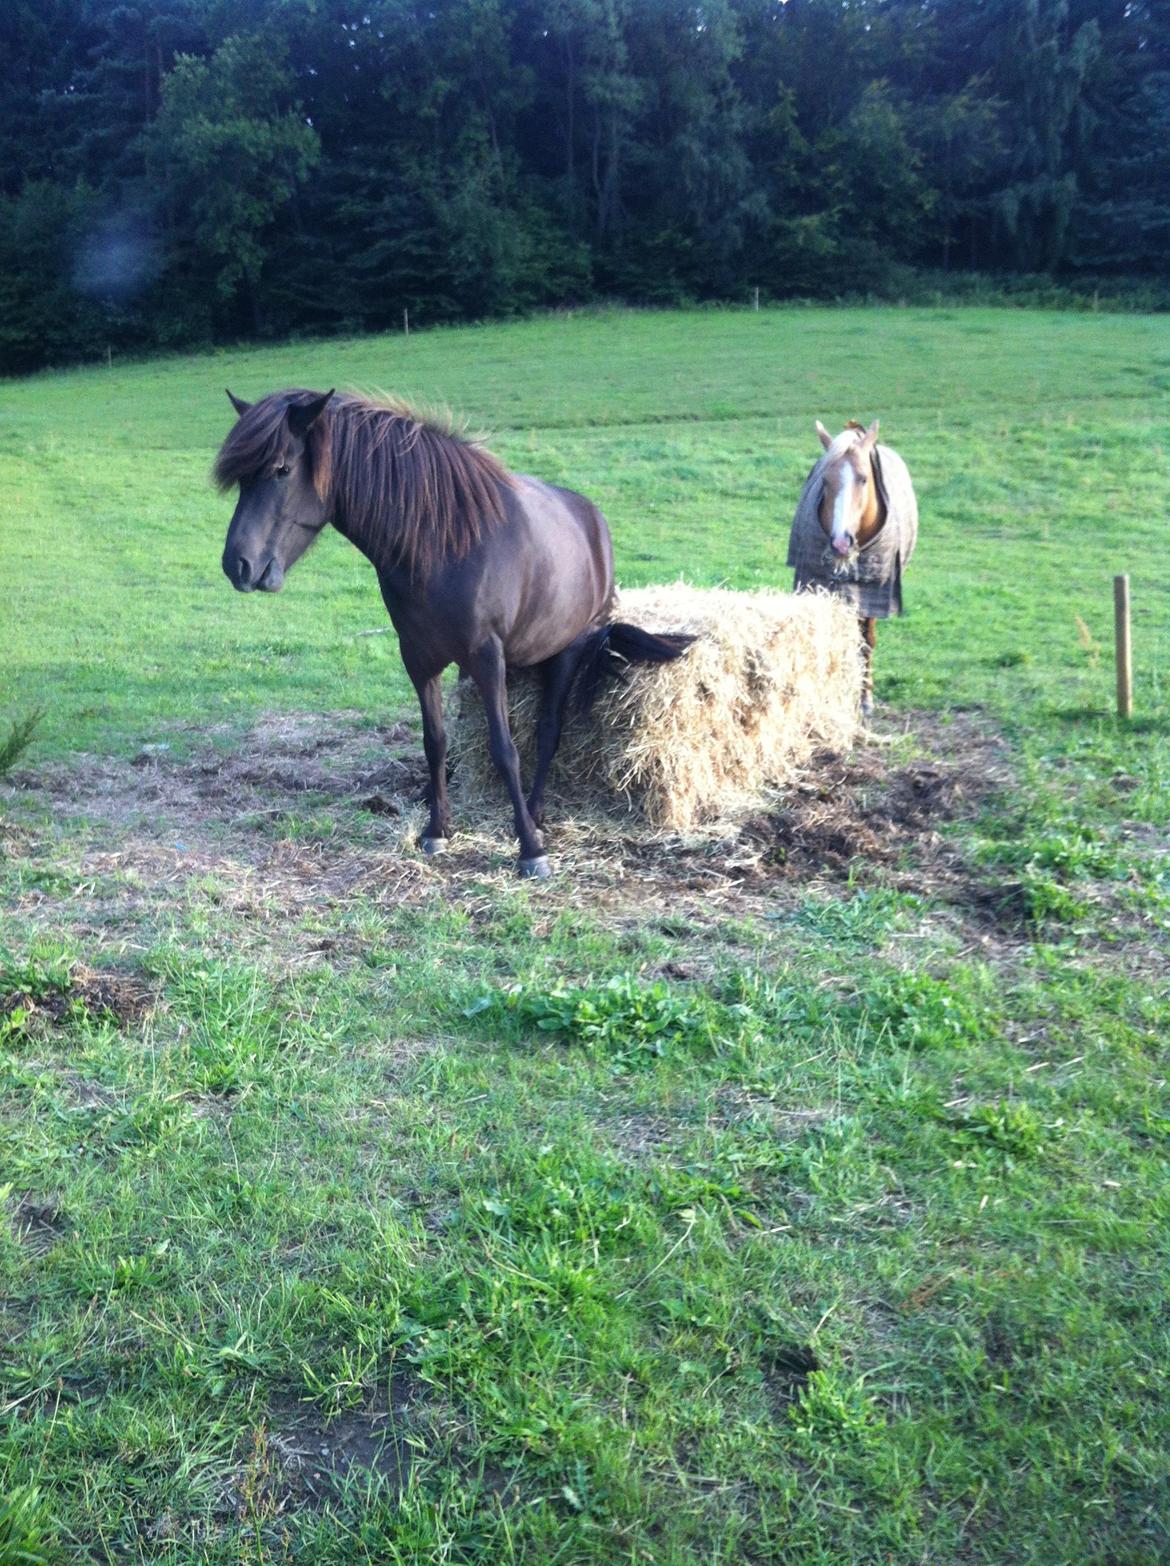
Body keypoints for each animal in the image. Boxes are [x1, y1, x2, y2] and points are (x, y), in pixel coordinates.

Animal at [216, 386, 692, 876]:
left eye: (281, 469)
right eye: (243, 479)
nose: (237, 565)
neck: (439, 546)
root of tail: (593, 520)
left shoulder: (487, 656)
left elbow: (505, 749)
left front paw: (529, 848)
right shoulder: (418, 657)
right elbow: (436, 741)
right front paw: (437, 828)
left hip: (570, 649)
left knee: (548, 732)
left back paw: (536, 815)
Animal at [792, 413, 920, 714]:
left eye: (863, 479)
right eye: (825, 480)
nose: (841, 542)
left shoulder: (873, 592)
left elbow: (867, 640)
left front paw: (865, 698)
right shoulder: (824, 587)